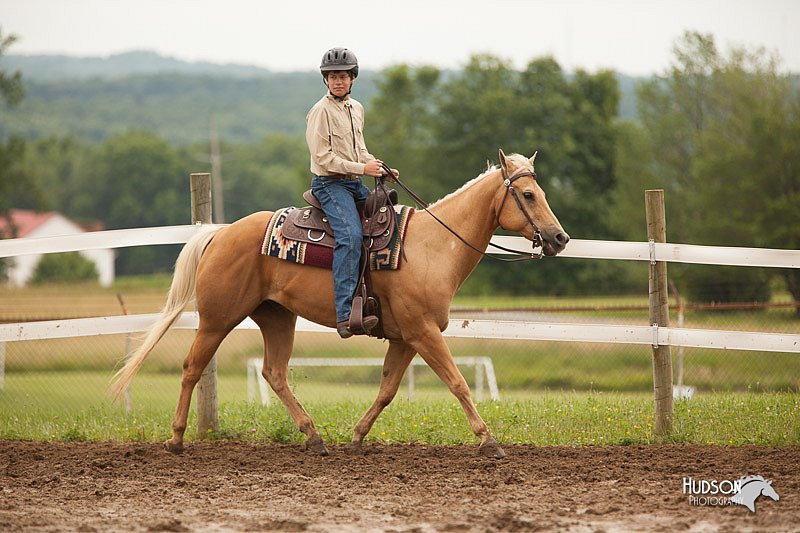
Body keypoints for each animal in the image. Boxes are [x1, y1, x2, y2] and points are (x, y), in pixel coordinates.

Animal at [111, 150, 568, 458]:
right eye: (528, 194)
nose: (560, 238)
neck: (432, 246)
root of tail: (220, 233)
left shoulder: (405, 338)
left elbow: (387, 389)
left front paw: (357, 436)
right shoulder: (423, 332)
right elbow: (457, 383)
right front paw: (489, 441)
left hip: (277, 318)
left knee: (274, 373)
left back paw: (314, 437)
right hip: (216, 319)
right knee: (192, 367)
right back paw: (176, 438)